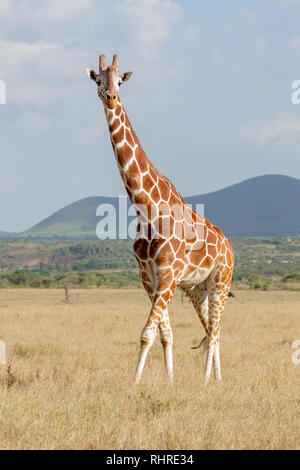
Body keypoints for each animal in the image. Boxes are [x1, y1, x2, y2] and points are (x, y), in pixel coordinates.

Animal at [86, 55, 234, 386]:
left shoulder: (167, 275)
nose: (110, 97)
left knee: (216, 331)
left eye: (120, 80)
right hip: (197, 289)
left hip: (221, 280)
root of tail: (229, 246)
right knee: (212, 330)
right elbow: (164, 334)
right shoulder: (150, 277)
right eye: (98, 80)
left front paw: (134, 384)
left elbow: (146, 333)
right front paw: (169, 381)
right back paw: (217, 379)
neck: (147, 207)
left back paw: (207, 382)